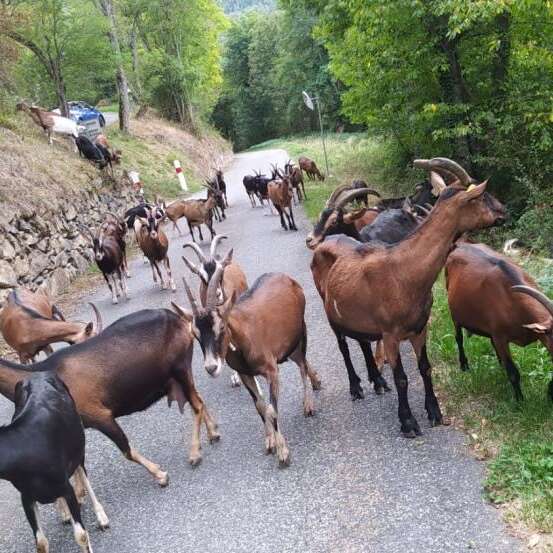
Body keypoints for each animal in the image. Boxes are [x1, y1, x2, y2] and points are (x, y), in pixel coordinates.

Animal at [0, 306, 219, 484]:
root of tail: (178, 319)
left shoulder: (100, 415)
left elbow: (126, 450)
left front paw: (160, 475)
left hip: (180, 367)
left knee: (197, 405)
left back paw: (194, 454)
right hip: (177, 375)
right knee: (198, 399)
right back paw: (213, 433)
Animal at [175, 254, 322, 466]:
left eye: (221, 326)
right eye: (195, 334)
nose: (211, 367)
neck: (244, 336)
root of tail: (286, 278)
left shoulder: (271, 371)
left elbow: (271, 409)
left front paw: (283, 452)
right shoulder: (245, 373)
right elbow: (260, 406)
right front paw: (270, 441)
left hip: (300, 334)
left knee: (301, 364)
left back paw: (308, 404)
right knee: (300, 362)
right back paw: (315, 382)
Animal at [310, 157, 504, 438]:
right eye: (481, 195)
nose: (503, 211)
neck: (405, 270)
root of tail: (326, 243)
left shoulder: (419, 328)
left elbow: (425, 368)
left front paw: (434, 412)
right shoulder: (391, 334)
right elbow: (401, 377)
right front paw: (408, 422)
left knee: (362, 343)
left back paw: (378, 381)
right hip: (331, 315)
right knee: (344, 347)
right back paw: (356, 388)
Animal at [444, 244, 552, 398]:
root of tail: (460, 245)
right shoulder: (500, 337)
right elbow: (513, 373)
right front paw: (519, 400)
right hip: (455, 314)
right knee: (458, 338)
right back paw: (464, 365)